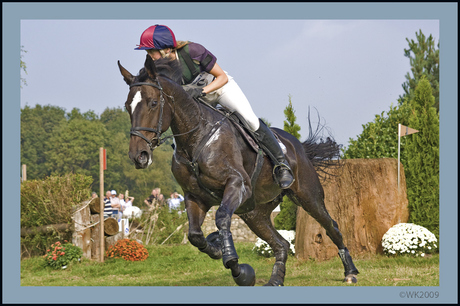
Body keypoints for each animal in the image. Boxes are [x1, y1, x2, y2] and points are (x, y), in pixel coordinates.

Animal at [116, 53, 360, 286]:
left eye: (153, 103)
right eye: (128, 106)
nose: (138, 156)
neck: (195, 138)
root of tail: (298, 145)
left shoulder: (236, 184)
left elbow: (222, 217)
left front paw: (233, 262)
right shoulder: (195, 197)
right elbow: (195, 235)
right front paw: (223, 255)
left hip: (308, 196)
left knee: (331, 226)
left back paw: (350, 272)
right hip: (254, 212)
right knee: (281, 243)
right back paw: (275, 280)